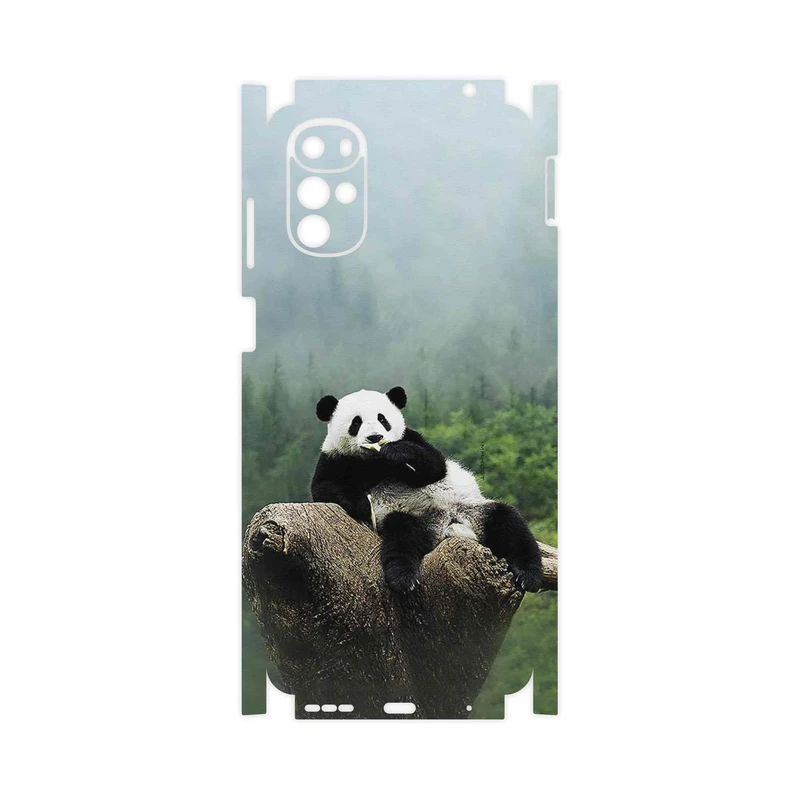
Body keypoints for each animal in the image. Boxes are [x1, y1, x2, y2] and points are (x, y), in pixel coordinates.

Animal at [311, 386, 544, 595]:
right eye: (356, 422)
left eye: (382, 419)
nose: (375, 437)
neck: (374, 461)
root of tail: (447, 524)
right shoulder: (335, 458)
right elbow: (324, 488)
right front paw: (362, 504)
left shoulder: (413, 438)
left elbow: (435, 466)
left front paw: (396, 452)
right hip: (413, 518)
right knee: (402, 537)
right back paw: (404, 579)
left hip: (473, 509)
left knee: (509, 523)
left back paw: (528, 575)